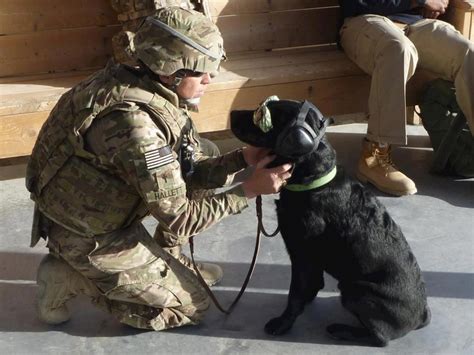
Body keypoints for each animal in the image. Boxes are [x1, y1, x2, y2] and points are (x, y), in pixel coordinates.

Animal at [231, 99, 432, 348]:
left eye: (261, 115)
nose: (231, 113)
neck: (313, 181)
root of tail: (422, 314)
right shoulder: (309, 259)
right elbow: (310, 285)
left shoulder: (303, 254)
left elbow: (295, 294)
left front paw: (283, 323)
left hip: (355, 290)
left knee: (381, 337)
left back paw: (342, 330)